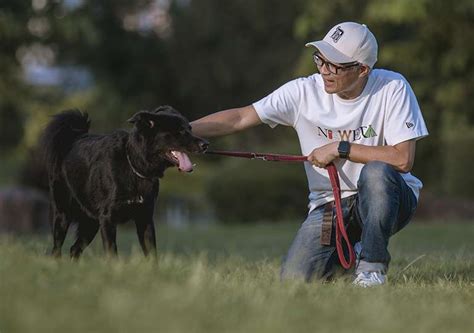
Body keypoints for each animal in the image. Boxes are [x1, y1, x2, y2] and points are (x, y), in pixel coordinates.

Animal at [41, 105, 208, 258]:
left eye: (190, 129)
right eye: (179, 131)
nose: (206, 144)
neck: (133, 164)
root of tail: (74, 139)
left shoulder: (145, 218)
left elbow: (152, 254)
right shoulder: (108, 219)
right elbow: (112, 253)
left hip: (91, 222)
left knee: (74, 250)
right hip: (62, 215)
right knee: (56, 250)